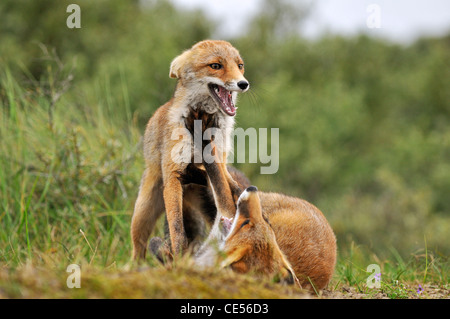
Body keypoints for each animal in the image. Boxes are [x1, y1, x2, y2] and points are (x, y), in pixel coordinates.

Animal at [130, 39, 250, 260]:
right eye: (216, 66)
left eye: (240, 66)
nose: (243, 84)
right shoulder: (173, 174)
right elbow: (177, 228)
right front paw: (178, 253)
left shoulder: (219, 158)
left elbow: (229, 184)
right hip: (143, 214)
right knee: (138, 247)